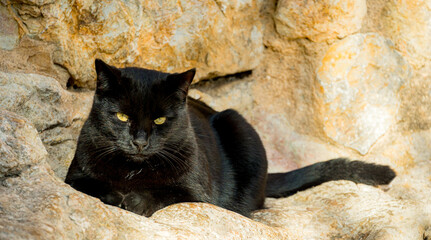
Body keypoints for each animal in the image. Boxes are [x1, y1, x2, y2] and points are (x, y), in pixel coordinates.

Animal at [65, 59, 398, 217]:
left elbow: (163, 192)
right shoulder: (75, 174)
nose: (140, 142)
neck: (133, 171)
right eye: (122, 117)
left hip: (236, 122)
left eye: (160, 120)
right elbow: (93, 184)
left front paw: (134, 200)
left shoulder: (195, 192)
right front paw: (114, 195)